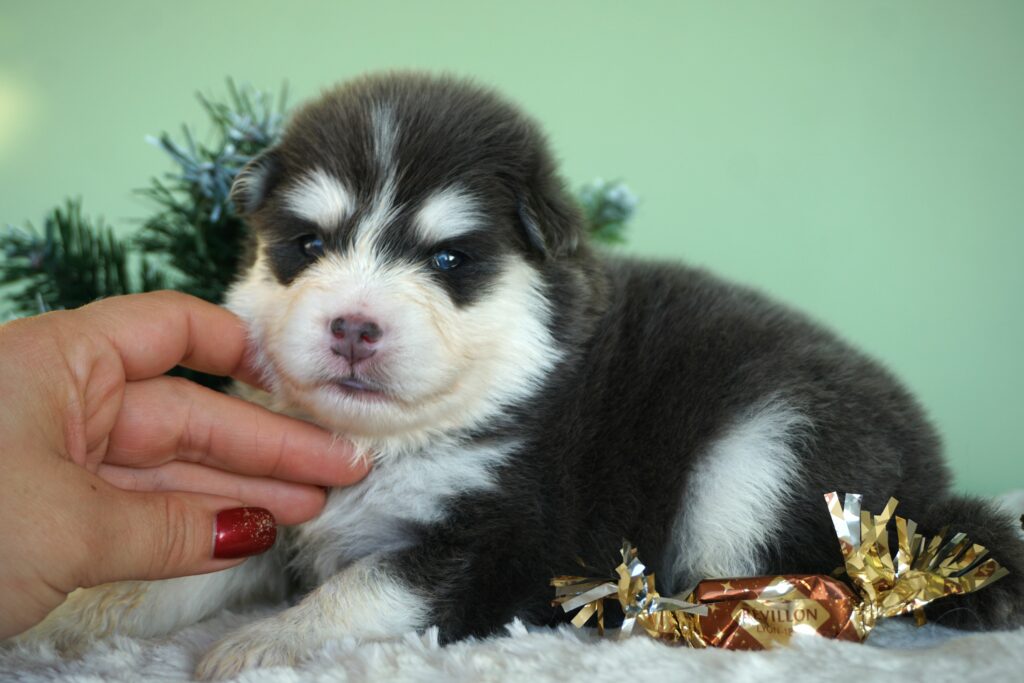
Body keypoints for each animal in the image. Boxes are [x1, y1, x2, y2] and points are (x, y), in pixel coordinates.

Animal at [23, 72, 1024, 678]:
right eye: (306, 246)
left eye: (450, 259)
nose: (352, 325)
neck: (397, 439)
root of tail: (933, 491)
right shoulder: (273, 511)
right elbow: (181, 570)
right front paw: (68, 615)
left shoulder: (511, 540)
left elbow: (365, 585)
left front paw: (263, 640)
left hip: (762, 450)